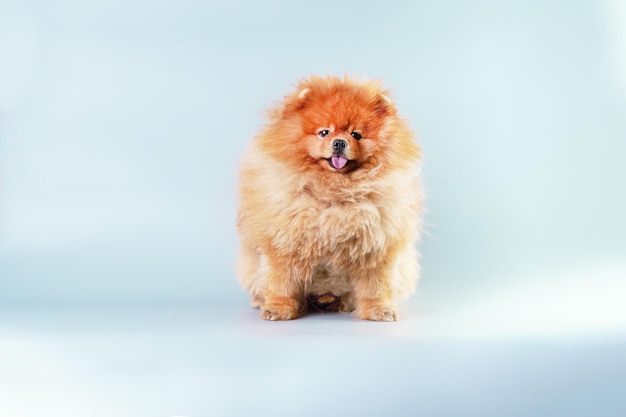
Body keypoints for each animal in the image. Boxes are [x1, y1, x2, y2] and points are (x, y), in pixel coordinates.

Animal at [236, 75, 422, 320]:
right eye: (324, 132)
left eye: (356, 135)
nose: (340, 142)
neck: (334, 192)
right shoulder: (284, 243)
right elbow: (282, 283)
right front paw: (278, 308)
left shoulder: (376, 246)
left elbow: (375, 286)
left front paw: (378, 310)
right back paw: (261, 302)